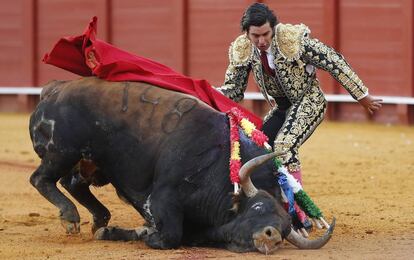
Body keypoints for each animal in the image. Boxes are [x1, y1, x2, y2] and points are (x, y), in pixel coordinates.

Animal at [28, 77, 334, 254]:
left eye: (284, 229)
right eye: (258, 207)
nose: (271, 236)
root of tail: (54, 89)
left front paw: (116, 232)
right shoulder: (163, 197)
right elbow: (170, 235)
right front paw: (146, 236)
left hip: (89, 162)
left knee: (73, 184)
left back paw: (99, 219)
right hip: (62, 150)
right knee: (41, 179)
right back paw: (71, 218)